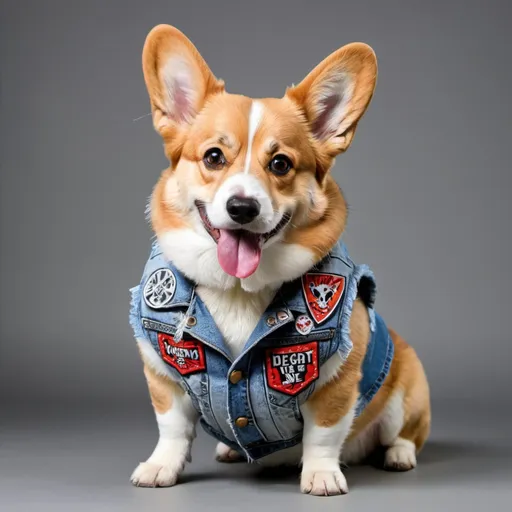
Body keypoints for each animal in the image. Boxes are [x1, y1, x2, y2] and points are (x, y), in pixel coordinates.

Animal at [128, 25, 428, 496]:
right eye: (213, 156)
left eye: (281, 164)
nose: (242, 207)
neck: (237, 289)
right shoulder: (162, 371)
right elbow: (172, 426)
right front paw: (161, 467)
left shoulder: (337, 377)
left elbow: (323, 432)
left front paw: (321, 475)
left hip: (409, 385)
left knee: (403, 433)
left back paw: (398, 456)